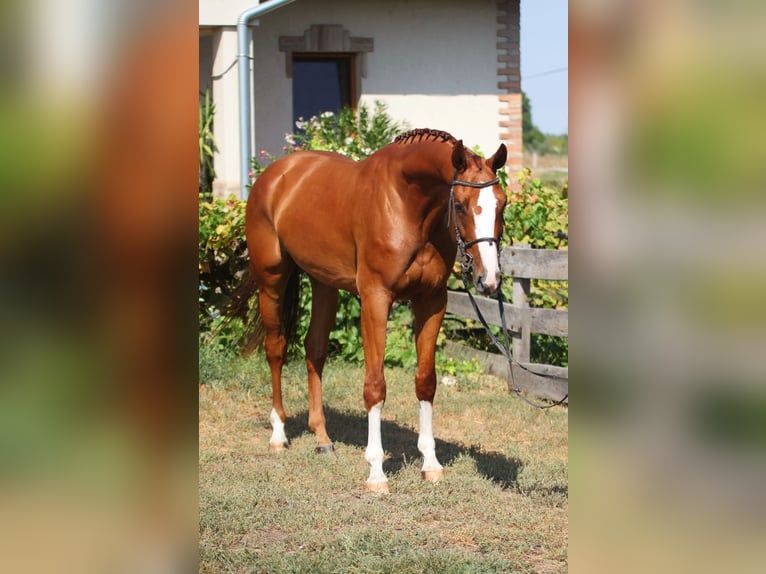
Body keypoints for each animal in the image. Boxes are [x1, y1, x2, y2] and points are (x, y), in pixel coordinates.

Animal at [234, 129, 510, 496]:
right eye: (460, 205)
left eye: (503, 204)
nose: (488, 279)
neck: (407, 204)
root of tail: (274, 175)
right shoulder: (376, 298)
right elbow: (375, 386)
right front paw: (376, 471)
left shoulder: (432, 301)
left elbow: (426, 382)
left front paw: (430, 464)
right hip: (272, 281)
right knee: (276, 349)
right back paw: (278, 434)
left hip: (324, 283)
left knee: (314, 349)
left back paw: (322, 438)